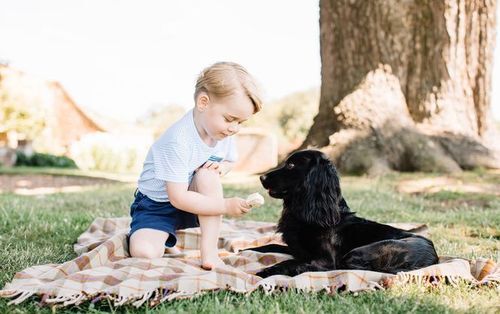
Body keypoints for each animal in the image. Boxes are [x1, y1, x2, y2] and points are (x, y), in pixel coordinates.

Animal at [250, 150, 438, 278]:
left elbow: (290, 262)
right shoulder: (296, 249)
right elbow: (268, 246)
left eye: (291, 165)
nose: (261, 177)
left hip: (360, 252)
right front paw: (246, 250)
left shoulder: (324, 260)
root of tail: (433, 259)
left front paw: (264, 272)